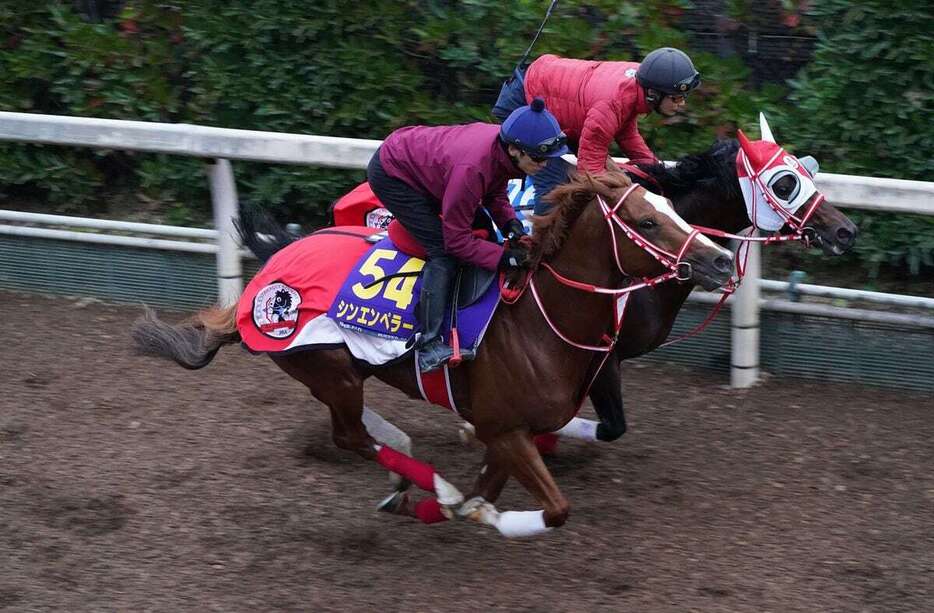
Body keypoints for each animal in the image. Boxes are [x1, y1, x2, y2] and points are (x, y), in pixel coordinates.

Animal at [132, 166, 740, 536]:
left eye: (675, 208)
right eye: (647, 221)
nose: (720, 261)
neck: (539, 322)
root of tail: (266, 281)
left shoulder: (509, 431)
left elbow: (489, 489)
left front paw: (453, 506)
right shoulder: (505, 426)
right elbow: (554, 508)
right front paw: (465, 505)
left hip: (340, 370)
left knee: (356, 428)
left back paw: (408, 473)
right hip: (330, 368)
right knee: (348, 435)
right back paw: (425, 476)